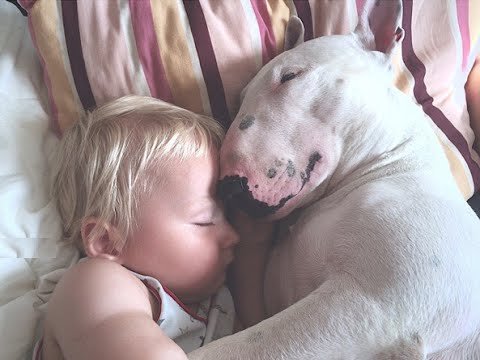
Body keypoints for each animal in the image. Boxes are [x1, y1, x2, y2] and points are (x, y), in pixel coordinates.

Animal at [188, 1, 480, 358]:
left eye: (290, 75)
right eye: (240, 97)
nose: (227, 189)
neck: (386, 165)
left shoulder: (370, 306)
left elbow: (231, 347)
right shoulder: (268, 299)